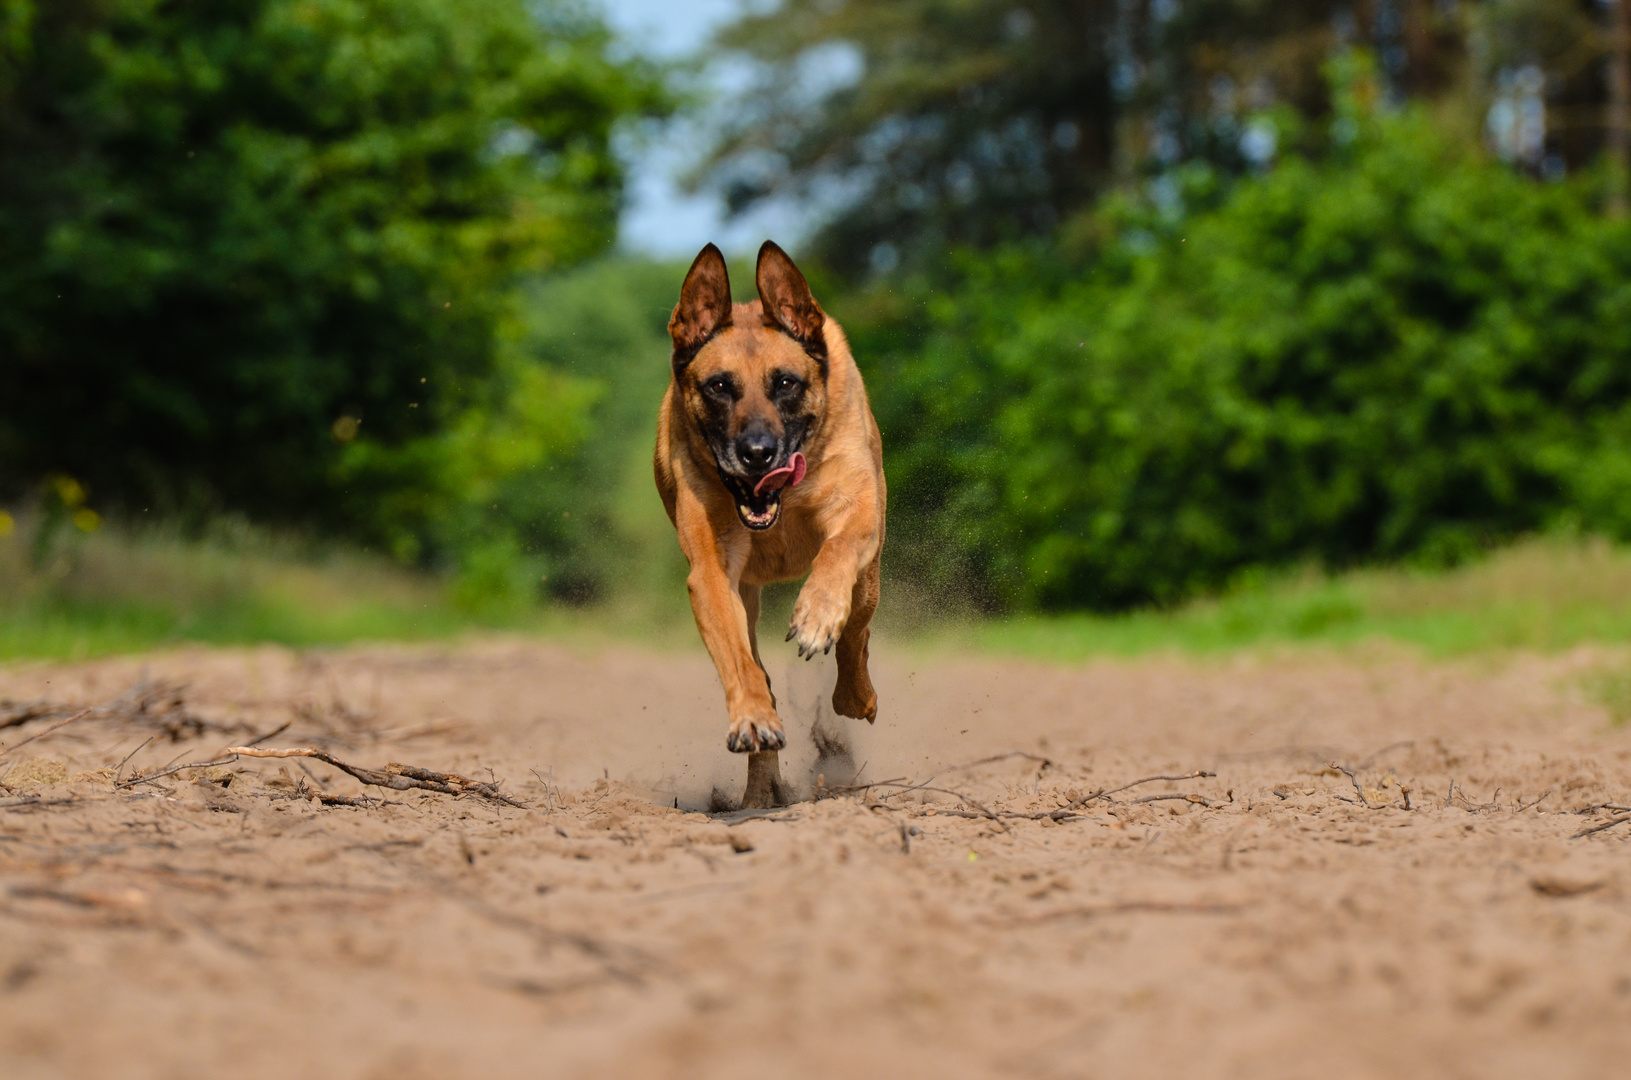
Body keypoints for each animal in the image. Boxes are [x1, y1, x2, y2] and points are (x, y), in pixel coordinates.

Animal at [652, 241, 887, 809]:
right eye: (719, 386)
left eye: (785, 383)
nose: (757, 454)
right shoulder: (711, 574)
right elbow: (740, 664)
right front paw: (754, 721)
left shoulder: (857, 514)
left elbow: (837, 554)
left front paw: (816, 617)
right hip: (747, 597)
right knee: (759, 665)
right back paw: (760, 793)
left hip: (869, 576)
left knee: (858, 633)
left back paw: (855, 696)